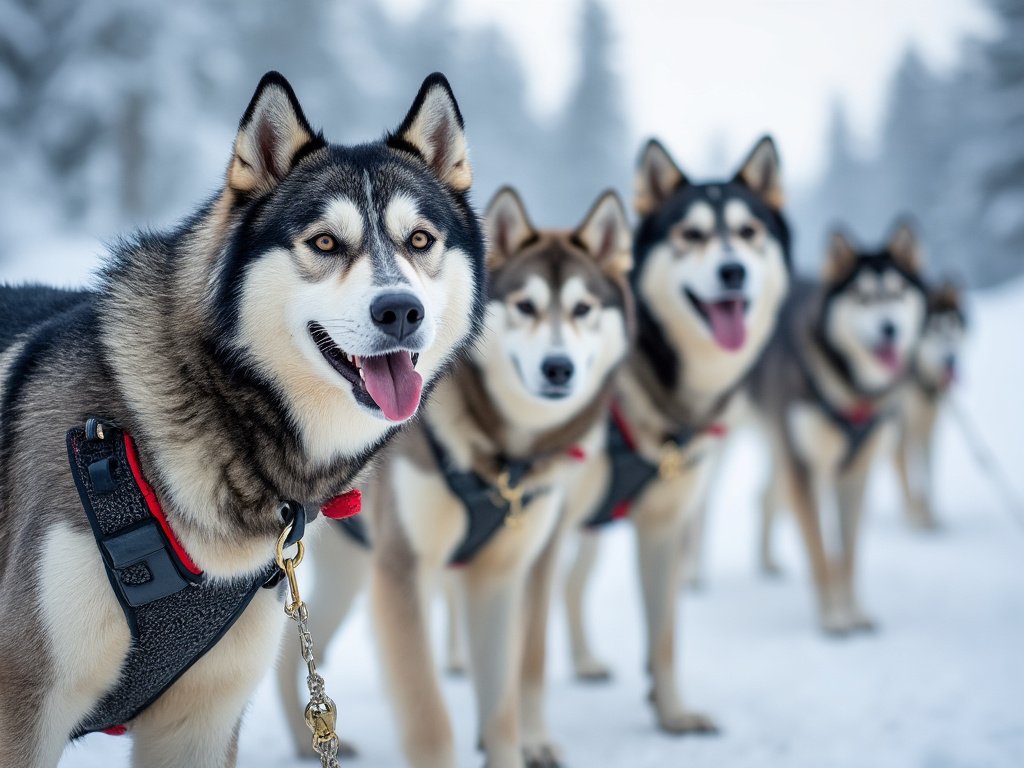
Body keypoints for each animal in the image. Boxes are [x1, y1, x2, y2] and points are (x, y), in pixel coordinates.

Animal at [278, 188, 630, 768]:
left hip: (346, 570)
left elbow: (506, 700)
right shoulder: (402, 571)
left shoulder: (506, 573)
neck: (502, 455)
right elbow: (429, 718)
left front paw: (520, 742)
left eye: (583, 309)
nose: (558, 368)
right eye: (525, 306)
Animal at [561, 135, 790, 737]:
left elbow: (664, 638)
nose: (733, 271)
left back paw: (585, 661)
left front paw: (673, 714)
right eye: (691, 234)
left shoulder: (663, 525)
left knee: (571, 586)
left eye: (749, 231)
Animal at [753, 221, 929, 630]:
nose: (889, 328)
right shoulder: (805, 468)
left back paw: (768, 564)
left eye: (898, 292)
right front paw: (833, 621)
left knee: (766, 497)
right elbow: (820, 552)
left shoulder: (855, 474)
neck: (853, 393)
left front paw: (854, 613)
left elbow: (847, 555)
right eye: (862, 297)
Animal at [897, 280, 966, 528]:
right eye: (934, 329)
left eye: (953, 327)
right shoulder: (906, 429)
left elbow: (928, 475)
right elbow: (913, 477)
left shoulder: (930, 429)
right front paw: (918, 516)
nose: (951, 359)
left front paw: (931, 515)